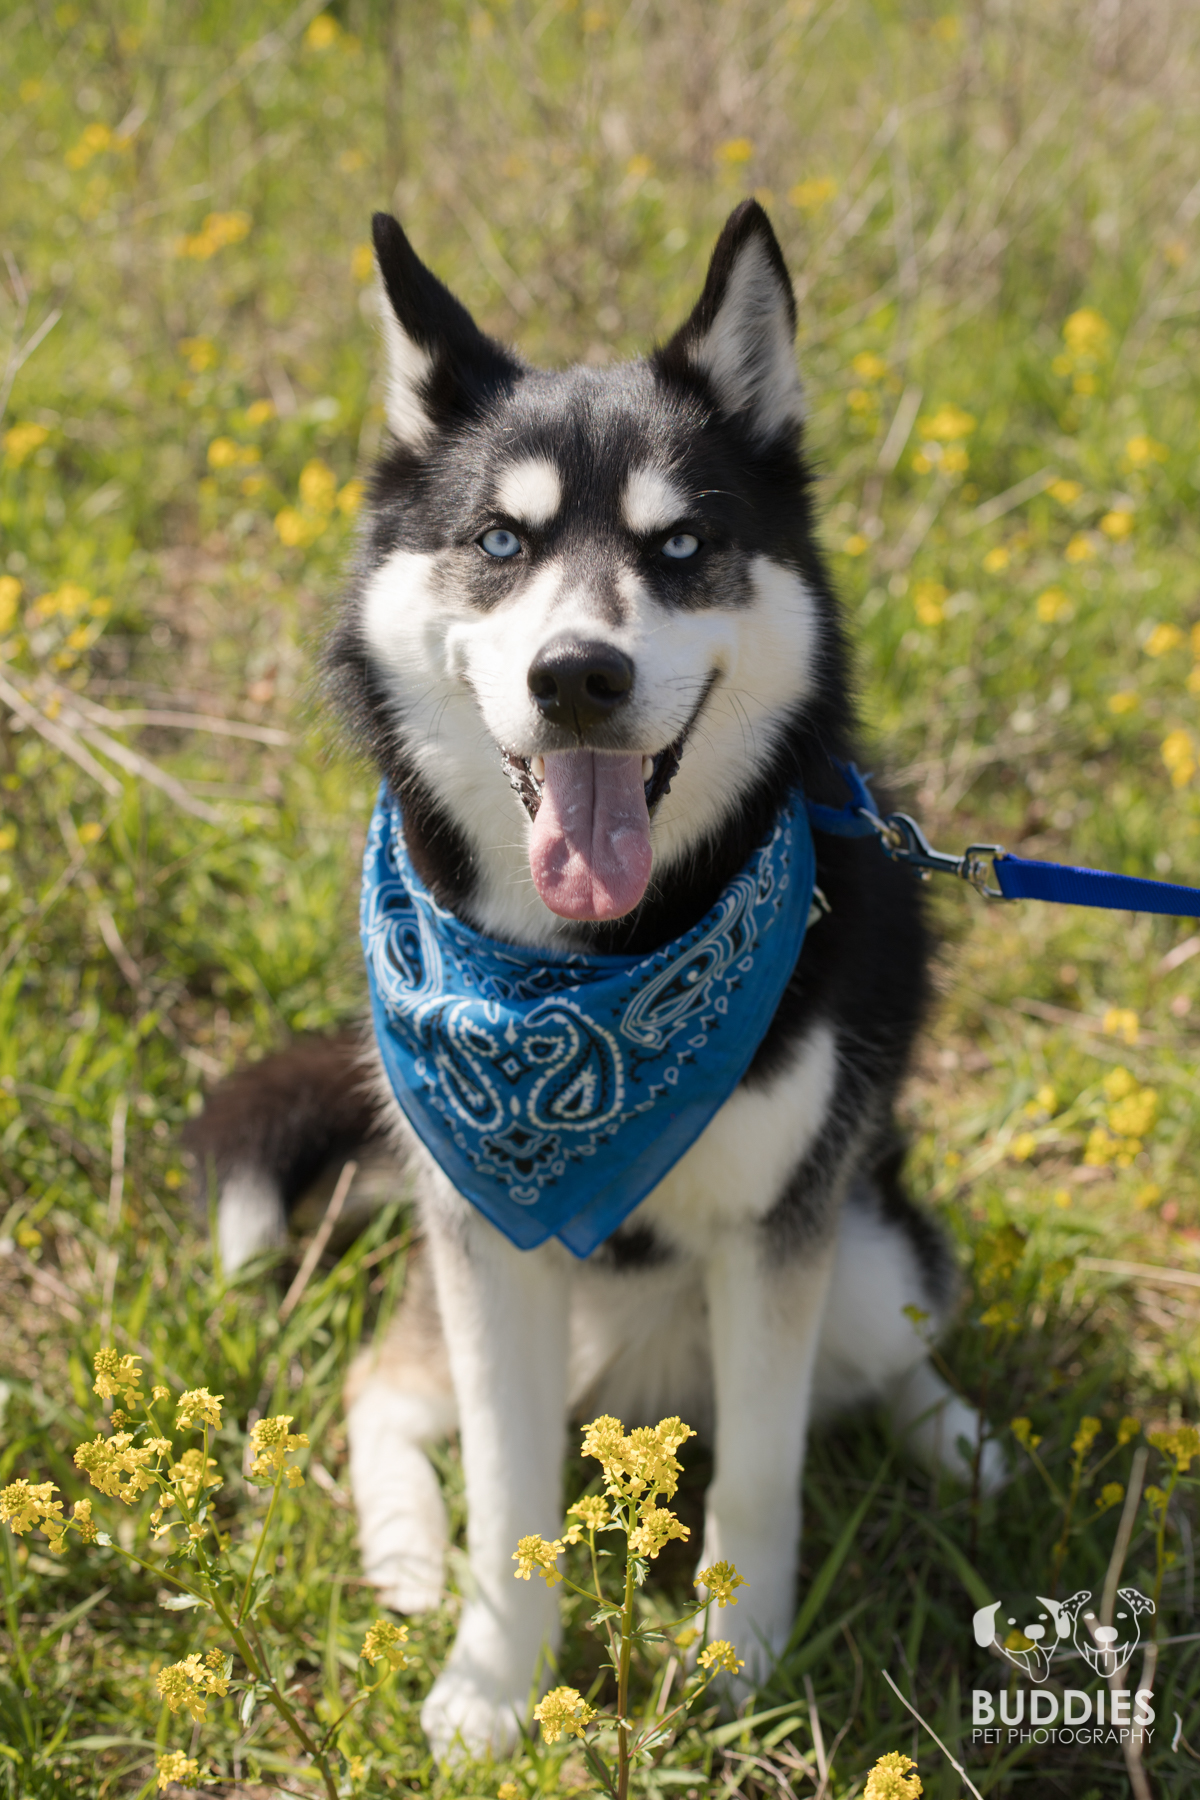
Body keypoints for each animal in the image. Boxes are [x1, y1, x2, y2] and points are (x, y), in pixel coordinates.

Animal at [197, 200, 993, 1756]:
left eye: (682, 545)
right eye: (500, 540)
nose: (579, 675)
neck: (595, 973)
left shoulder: (779, 1233)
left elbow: (762, 1472)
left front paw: (740, 1668)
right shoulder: (486, 1236)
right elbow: (512, 1485)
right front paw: (490, 1687)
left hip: (865, 1246)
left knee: (892, 1342)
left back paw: (964, 1441)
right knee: (382, 1387)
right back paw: (406, 1554)